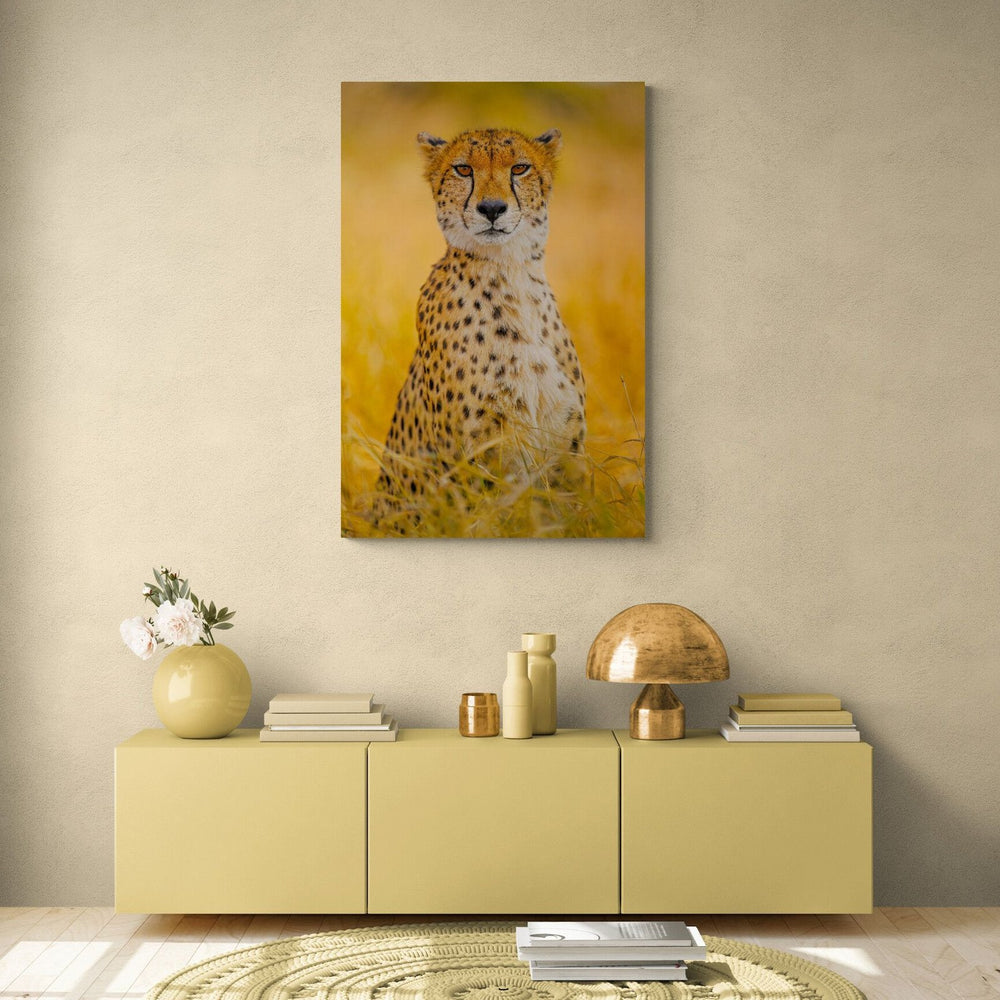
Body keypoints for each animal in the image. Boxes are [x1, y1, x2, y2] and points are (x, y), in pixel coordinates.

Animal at [374, 126, 586, 529]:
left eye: (519, 168)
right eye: (462, 169)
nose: (491, 208)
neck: (510, 276)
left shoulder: (565, 452)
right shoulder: (475, 462)